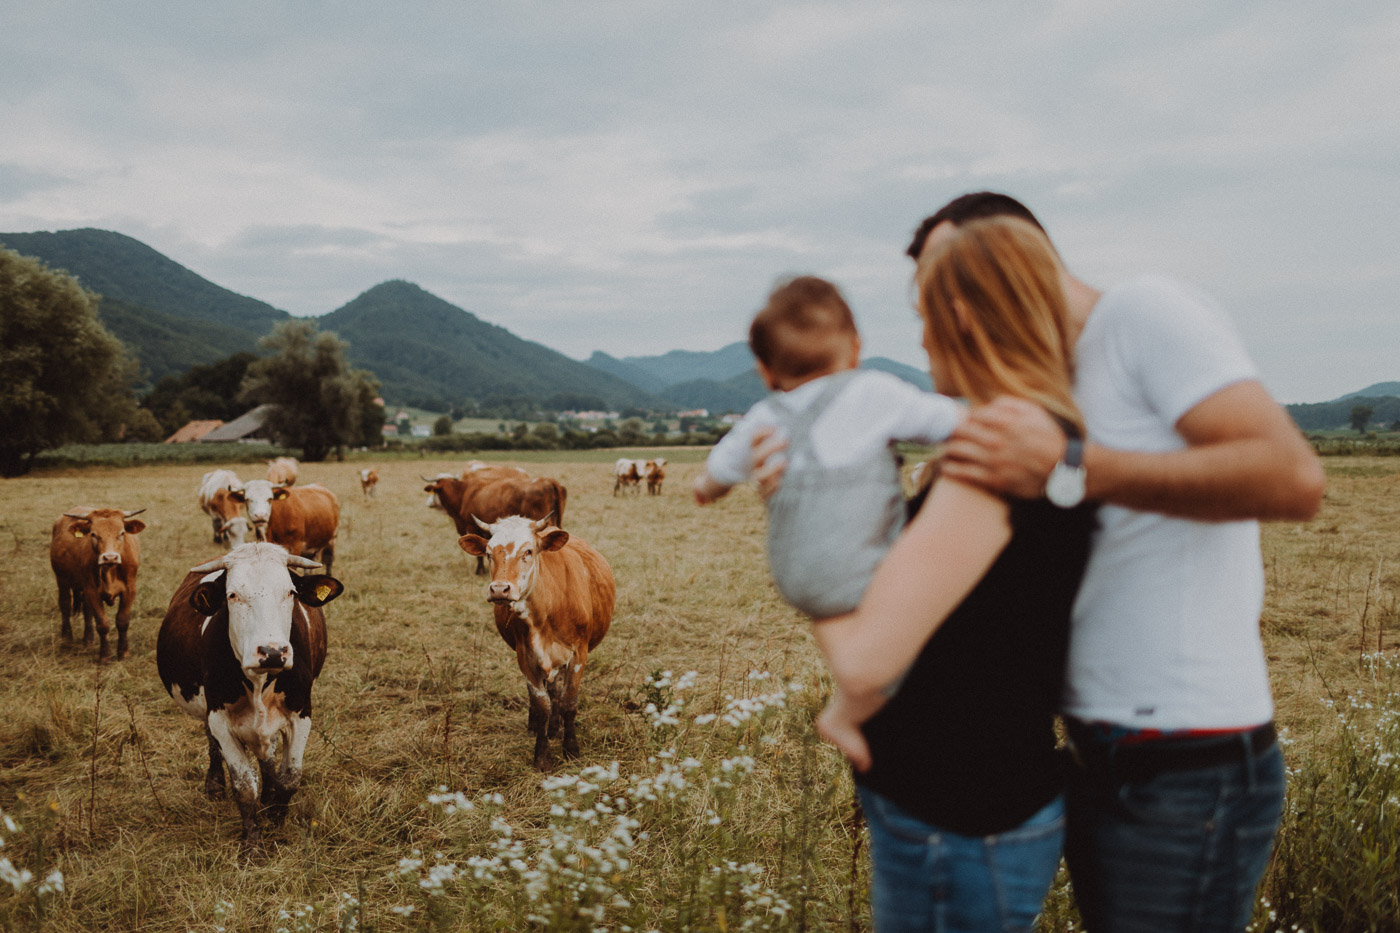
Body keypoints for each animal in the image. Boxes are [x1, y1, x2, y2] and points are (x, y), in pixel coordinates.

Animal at [48, 504, 145, 658]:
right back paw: (67, 638)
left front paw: (123, 653)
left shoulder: (129, 590)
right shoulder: (92, 591)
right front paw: (104, 655)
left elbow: (122, 621)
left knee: (86, 610)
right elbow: (102, 624)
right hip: (62, 580)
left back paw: (88, 639)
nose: (110, 557)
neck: (109, 571)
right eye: (93, 534)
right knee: (65, 605)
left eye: (122, 533)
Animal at [156, 537, 341, 851]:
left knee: (268, 754)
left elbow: (290, 777)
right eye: (232, 595)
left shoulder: (301, 714)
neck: (259, 681)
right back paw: (215, 784)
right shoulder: (219, 718)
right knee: (212, 743)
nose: (272, 652)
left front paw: (276, 820)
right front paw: (253, 844)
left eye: (290, 592)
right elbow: (244, 787)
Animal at [422, 473, 565, 574]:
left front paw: (479, 571)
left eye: (435, 492)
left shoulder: (472, 527)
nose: (428, 503)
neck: (463, 494)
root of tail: (548, 480)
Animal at [459, 512, 613, 767]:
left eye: (528, 551)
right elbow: (542, 706)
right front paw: (542, 756)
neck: (547, 609)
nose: (499, 590)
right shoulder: (526, 656)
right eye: (489, 553)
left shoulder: (578, 654)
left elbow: (569, 702)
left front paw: (571, 749)